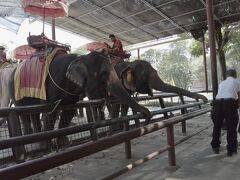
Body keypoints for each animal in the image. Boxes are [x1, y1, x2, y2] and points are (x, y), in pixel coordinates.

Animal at [9, 50, 151, 145]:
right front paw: (48, 145)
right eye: (104, 73)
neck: (80, 58)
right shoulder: (52, 82)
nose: (147, 115)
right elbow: (50, 111)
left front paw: (63, 142)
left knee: (32, 112)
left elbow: (69, 111)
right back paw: (32, 141)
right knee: (24, 112)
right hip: (13, 88)